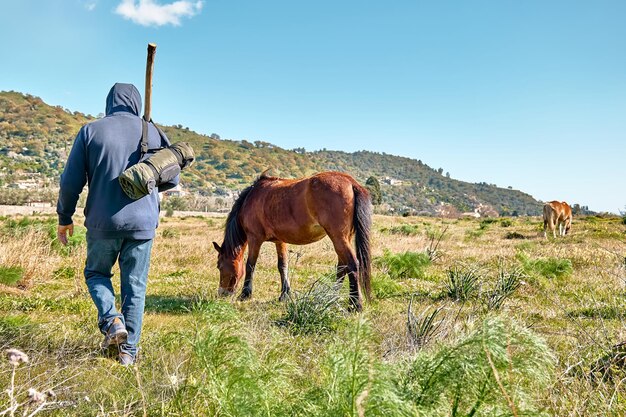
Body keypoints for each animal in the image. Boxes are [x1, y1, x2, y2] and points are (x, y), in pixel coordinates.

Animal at [212, 171, 372, 310]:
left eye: (219, 266)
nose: (221, 294)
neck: (251, 199)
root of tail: (350, 182)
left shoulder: (254, 238)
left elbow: (250, 265)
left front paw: (245, 294)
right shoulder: (280, 241)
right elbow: (282, 266)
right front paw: (284, 294)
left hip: (338, 238)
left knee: (352, 265)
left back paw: (355, 305)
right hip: (343, 239)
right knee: (342, 268)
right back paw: (331, 297)